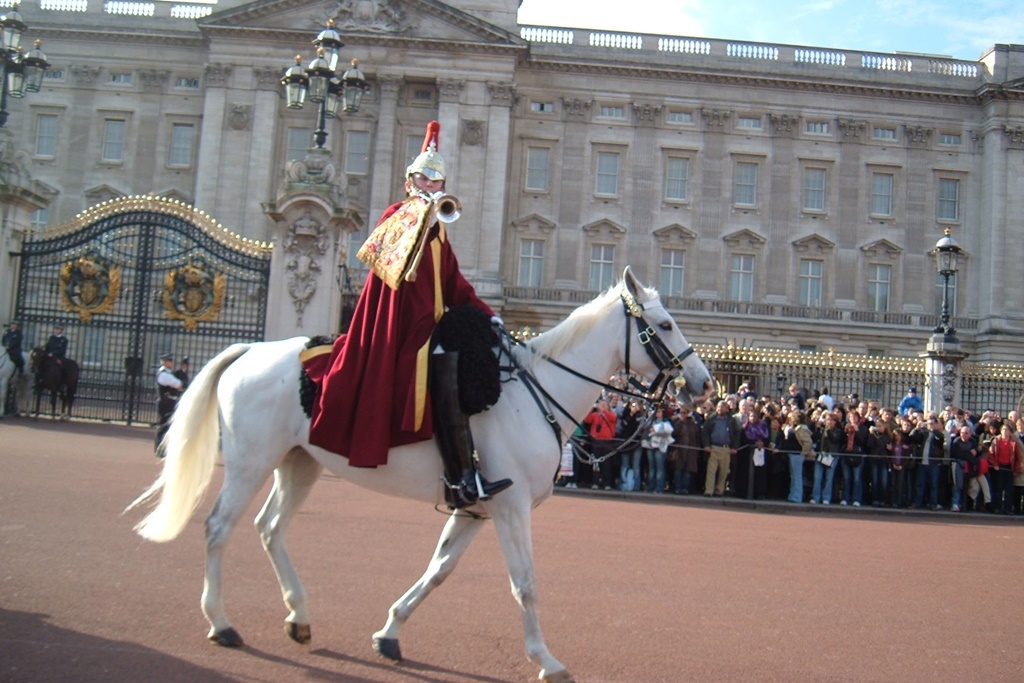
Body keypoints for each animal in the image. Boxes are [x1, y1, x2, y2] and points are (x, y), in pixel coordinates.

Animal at [125, 268, 712, 683]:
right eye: (663, 324)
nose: (705, 384)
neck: (536, 392)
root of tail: (250, 349)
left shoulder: (476, 507)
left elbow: (438, 571)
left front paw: (389, 632)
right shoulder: (511, 508)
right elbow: (525, 584)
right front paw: (546, 659)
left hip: (299, 463)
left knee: (269, 528)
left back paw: (298, 615)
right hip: (251, 462)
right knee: (218, 528)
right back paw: (221, 624)